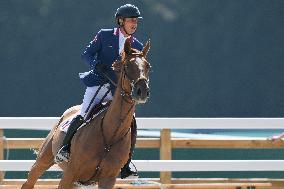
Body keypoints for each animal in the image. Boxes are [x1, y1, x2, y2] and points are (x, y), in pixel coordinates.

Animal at [21, 37, 151, 188]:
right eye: (127, 66)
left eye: (148, 66)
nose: (142, 91)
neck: (110, 134)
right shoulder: (70, 174)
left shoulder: (108, 179)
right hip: (43, 160)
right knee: (30, 181)